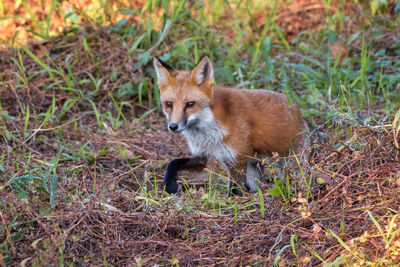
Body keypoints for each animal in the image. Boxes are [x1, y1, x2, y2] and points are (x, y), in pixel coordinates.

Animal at [153, 55, 310, 196]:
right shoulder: (205, 156)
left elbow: (234, 192)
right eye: (168, 104)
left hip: (291, 165)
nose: (173, 126)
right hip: (254, 169)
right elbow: (173, 163)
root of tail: (298, 110)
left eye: (190, 104)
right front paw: (170, 185)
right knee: (256, 188)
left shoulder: (236, 160)